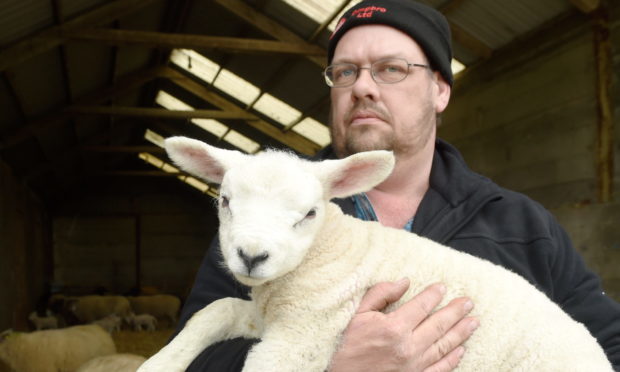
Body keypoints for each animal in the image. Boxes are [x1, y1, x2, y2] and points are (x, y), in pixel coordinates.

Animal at [137, 137, 616, 372]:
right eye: (225, 201)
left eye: (309, 213)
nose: (252, 256)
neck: (328, 249)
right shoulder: (278, 318)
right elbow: (213, 311)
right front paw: (160, 364)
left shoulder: (306, 335)